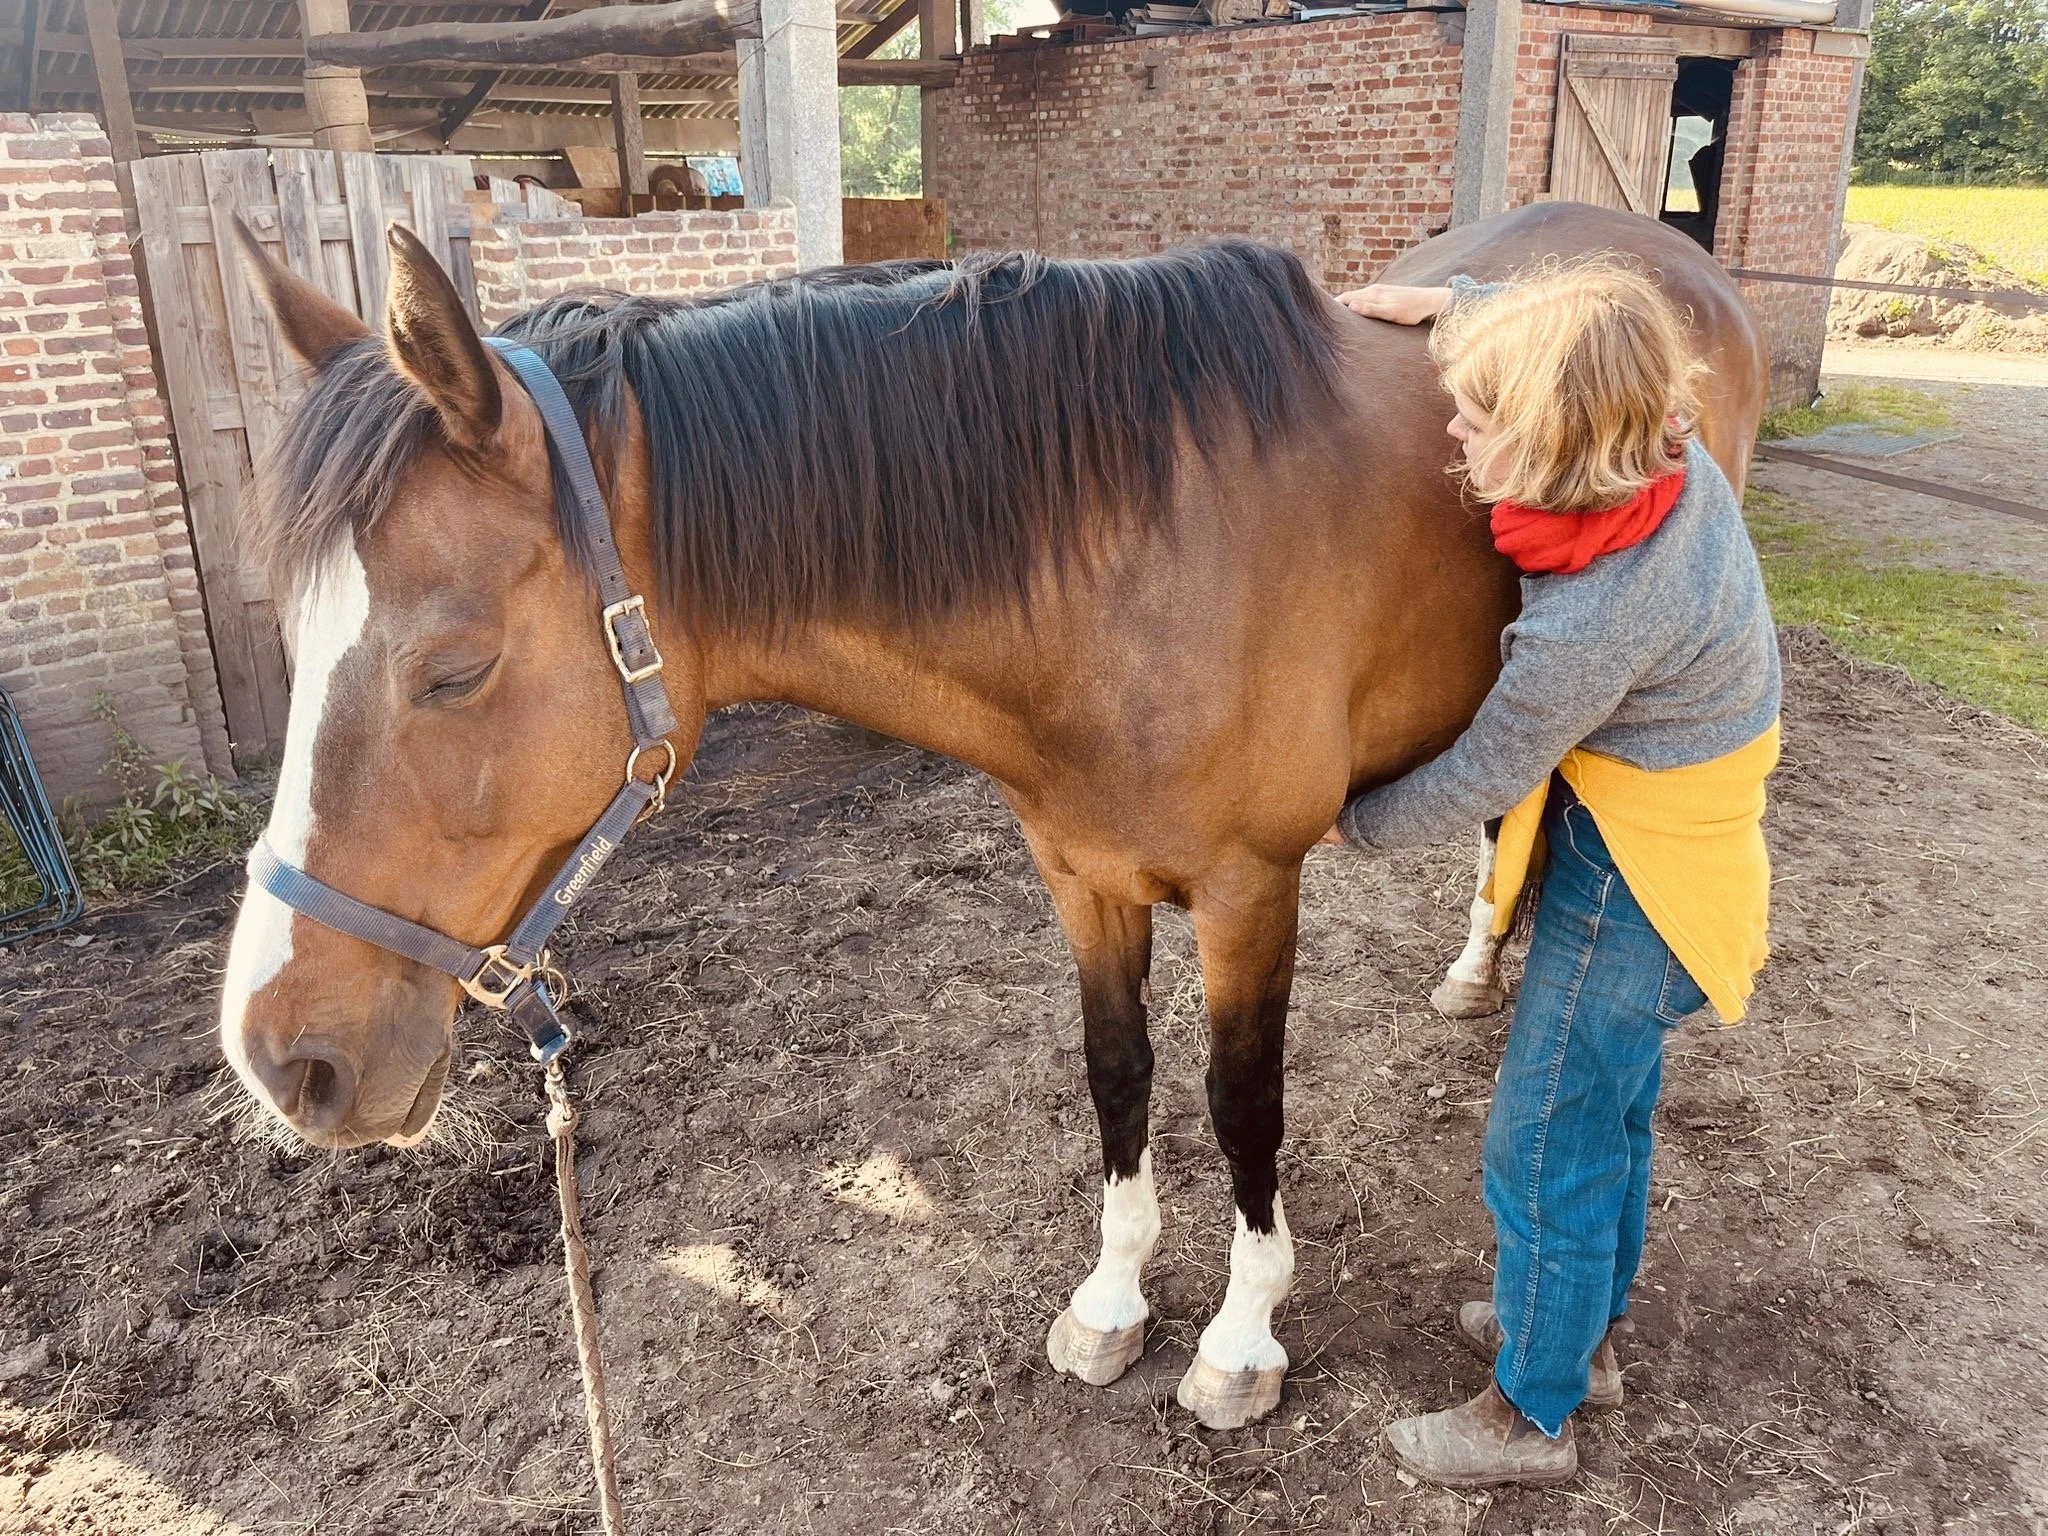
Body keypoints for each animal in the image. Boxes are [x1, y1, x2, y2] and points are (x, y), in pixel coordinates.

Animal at [217, 200, 1766, 1430]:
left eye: (454, 667)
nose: (282, 1057)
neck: (1131, 551)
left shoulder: (1250, 887)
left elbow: (1241, 1102)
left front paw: (1241, 1339)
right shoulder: (1078, 873)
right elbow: (1116, 1075)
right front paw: (1112, 1304)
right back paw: (1478, 971)